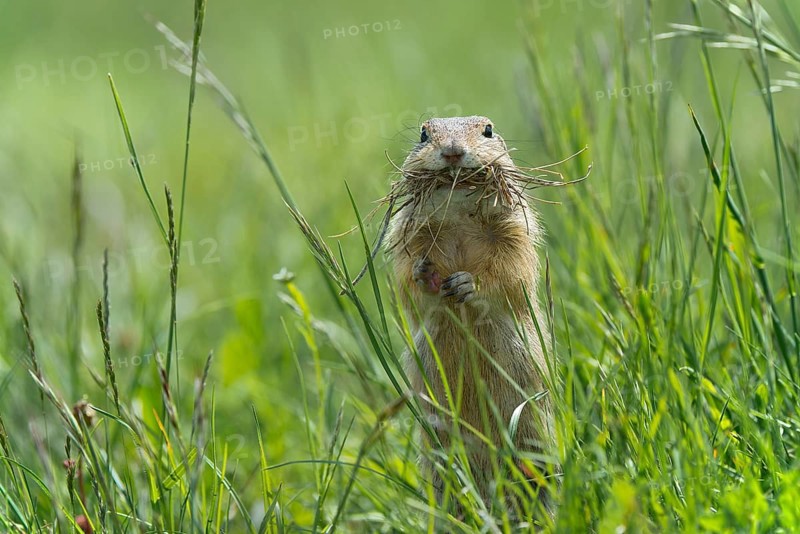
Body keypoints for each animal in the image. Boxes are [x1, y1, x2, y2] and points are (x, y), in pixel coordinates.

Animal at [385, 115, 556, 515]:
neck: (460, 219)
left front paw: (467, 283)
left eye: (488, 130)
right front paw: (423, 274)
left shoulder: (517, 230)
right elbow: (405, 280)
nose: (452, 152)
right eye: (423, 133)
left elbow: (509, 272)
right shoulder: (405, 236)